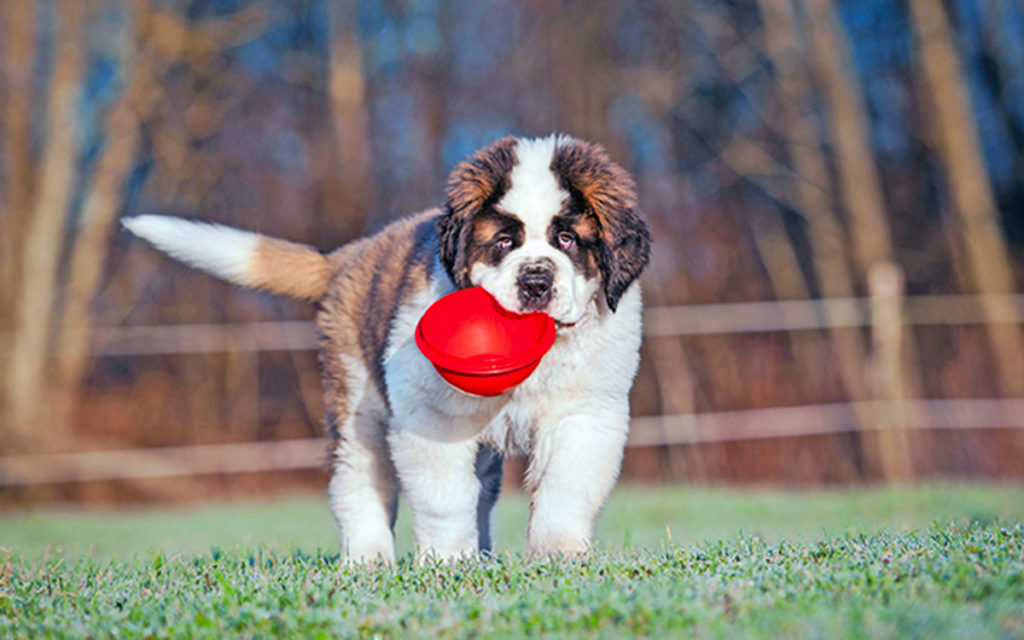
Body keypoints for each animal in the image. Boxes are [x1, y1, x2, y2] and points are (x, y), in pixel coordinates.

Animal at [119, 133, 647, 557]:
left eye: (567, 239)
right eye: (502, 242)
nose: (535, 282)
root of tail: (352, 254)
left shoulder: (585, 413)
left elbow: (566, 487)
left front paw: (561, 556)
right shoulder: (430, 417)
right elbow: (444, 497)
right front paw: (448, 564)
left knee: (481, 487)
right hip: (357, 401)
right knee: (357, 479)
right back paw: (369, 559)